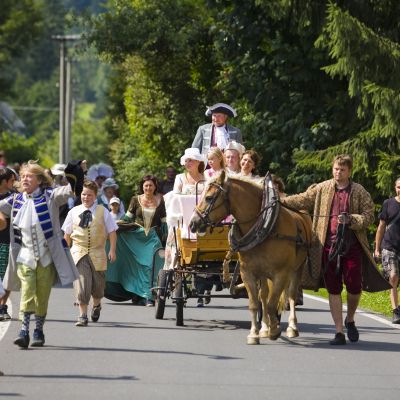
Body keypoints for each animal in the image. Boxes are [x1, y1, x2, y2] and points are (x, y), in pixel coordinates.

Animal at [189, 172, 310, 344]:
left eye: (209, 197)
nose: (193, 223)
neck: (266, 227)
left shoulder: (281, 273)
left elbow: (273, 304)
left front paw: (275, 330)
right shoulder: (247, 272)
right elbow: (255, 304)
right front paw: (255, 334)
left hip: (297, 268)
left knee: (291, 295)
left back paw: (292, 328)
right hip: (263, 273)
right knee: (263, 296)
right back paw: (265, 328)